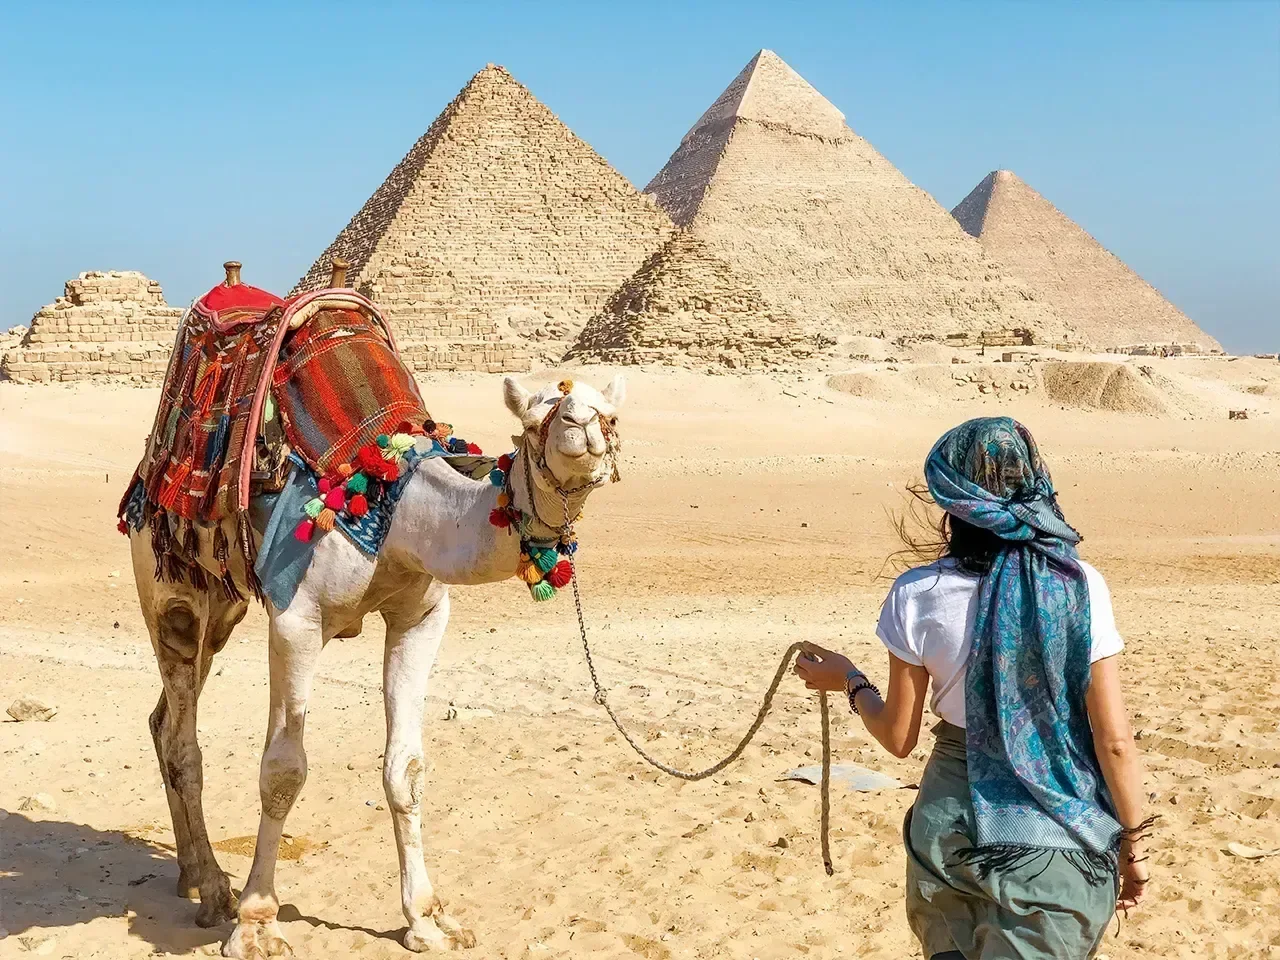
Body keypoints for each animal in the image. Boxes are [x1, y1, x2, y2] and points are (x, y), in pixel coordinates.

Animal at [130, 368, 625, 957]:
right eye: (533, 418)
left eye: (610, 414)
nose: (583, 426)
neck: (402, 515)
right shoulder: (296, 621)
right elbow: (283, 772)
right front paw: (257, 924)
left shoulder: (421, 615)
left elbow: (406, 769)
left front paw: (428, 919)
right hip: (169, 584)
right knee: (184, 738)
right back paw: (212, 891)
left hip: (223, 605)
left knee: (163, 722)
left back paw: (189, 873)